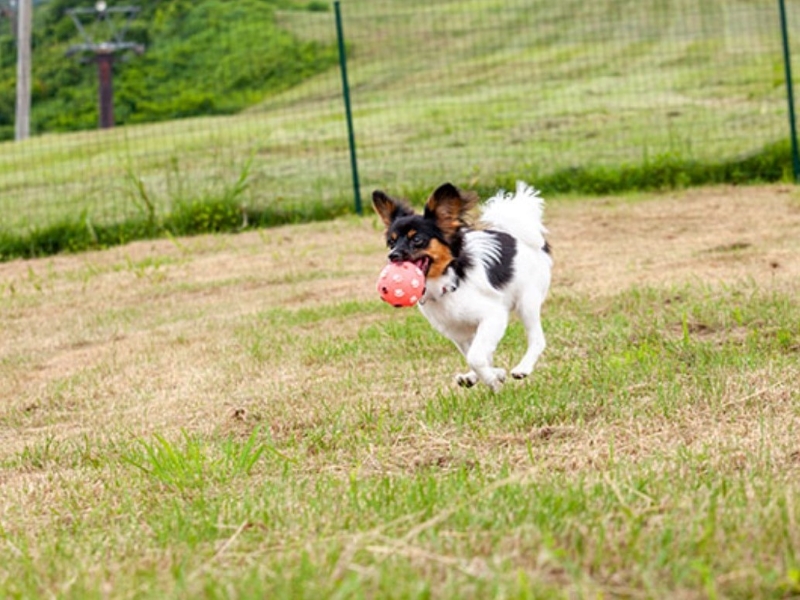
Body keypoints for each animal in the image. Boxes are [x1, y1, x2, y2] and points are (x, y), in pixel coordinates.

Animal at [374, 180, 552, 392]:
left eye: (417, 239)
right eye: (391, 242)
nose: (392, 256)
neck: (445, 282)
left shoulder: (493, 316)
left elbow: (475, 357)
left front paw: (492, 380)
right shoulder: (457, 331)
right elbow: (474, 356)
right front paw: (493, 375)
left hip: (527, 302)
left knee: (537, 339)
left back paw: (522, 368)